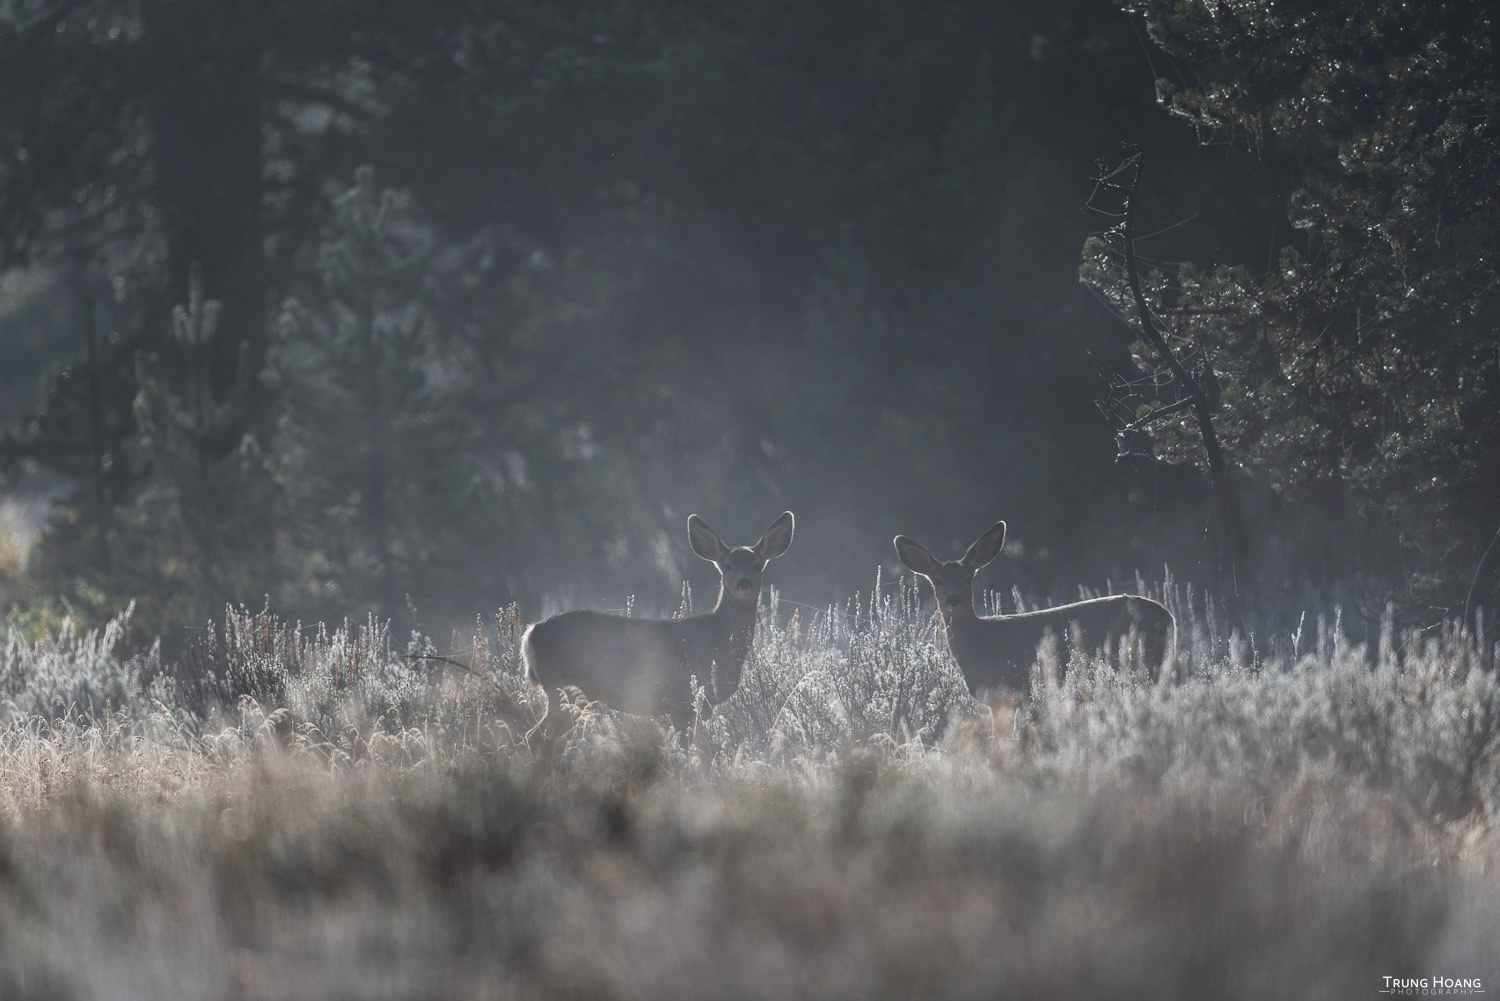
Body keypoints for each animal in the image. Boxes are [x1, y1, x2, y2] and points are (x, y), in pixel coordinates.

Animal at [525, 513, 792, 747]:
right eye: (727, 566)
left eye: (757, 565)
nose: (744, 582)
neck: (718, 639)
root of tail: (531, 634)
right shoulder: (681, 702)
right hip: (566, 690)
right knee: (536, 737)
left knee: (534, 736)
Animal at [888, 525, 1170, 696]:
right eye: (937, 581)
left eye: (968, 577)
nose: (953, 599)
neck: (981, 642)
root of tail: (1168, 615)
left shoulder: (1012, 687)